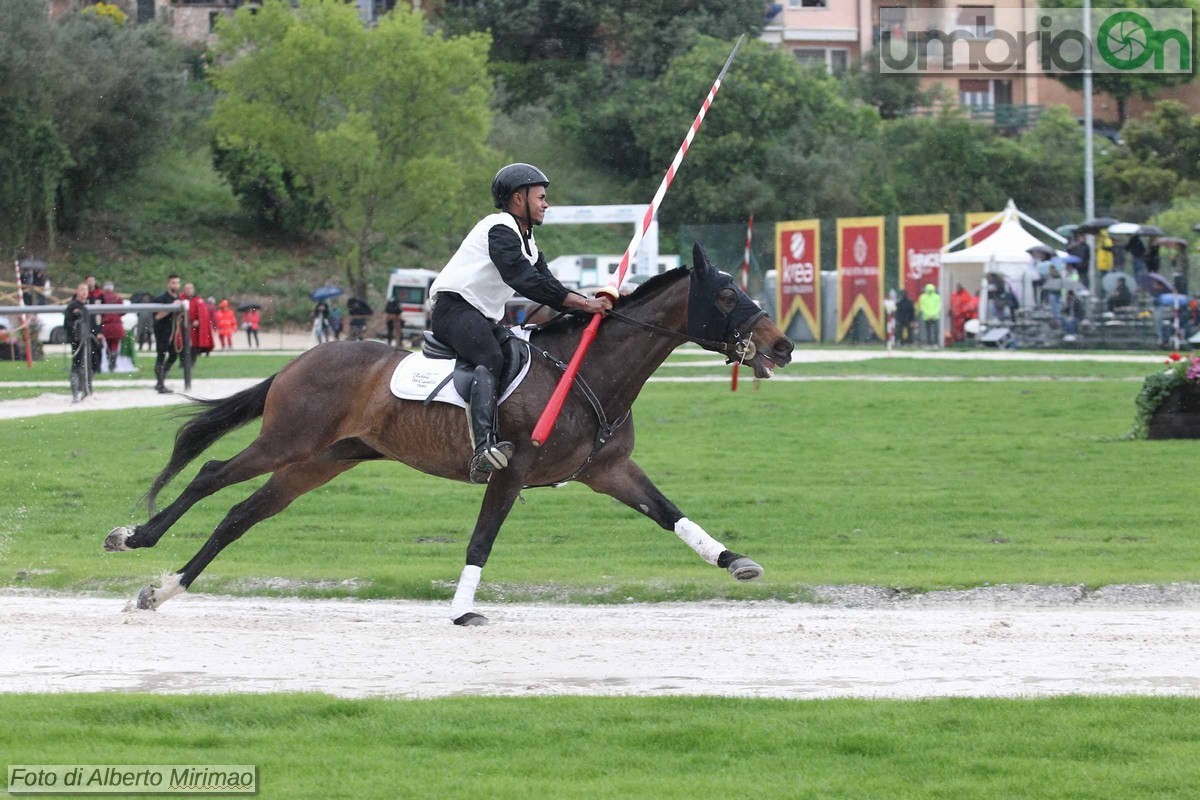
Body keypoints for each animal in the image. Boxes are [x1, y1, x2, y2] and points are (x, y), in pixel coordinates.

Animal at [105, 244, 796, 623]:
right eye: (727, 294)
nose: (784, 346)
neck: (586, 370)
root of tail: (305, 357)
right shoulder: (511, 472)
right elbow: (482, 539)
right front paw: (463, 610)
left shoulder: (610, 472)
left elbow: (671, 514)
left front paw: (734, 561)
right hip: (290, 440)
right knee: (209, 475)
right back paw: (134, 537)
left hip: (322, 460)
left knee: (240, 514)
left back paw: (165, 589)